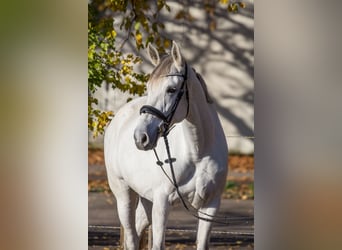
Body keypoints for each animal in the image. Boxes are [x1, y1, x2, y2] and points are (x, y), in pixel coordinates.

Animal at [103, 42, 227, 249]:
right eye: (148, 87)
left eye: (171, 89)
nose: (141, 137)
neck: (197, 153)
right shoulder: (162, 203)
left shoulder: (211, 205)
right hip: (123, 194)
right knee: (131, 237)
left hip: (146, 198)